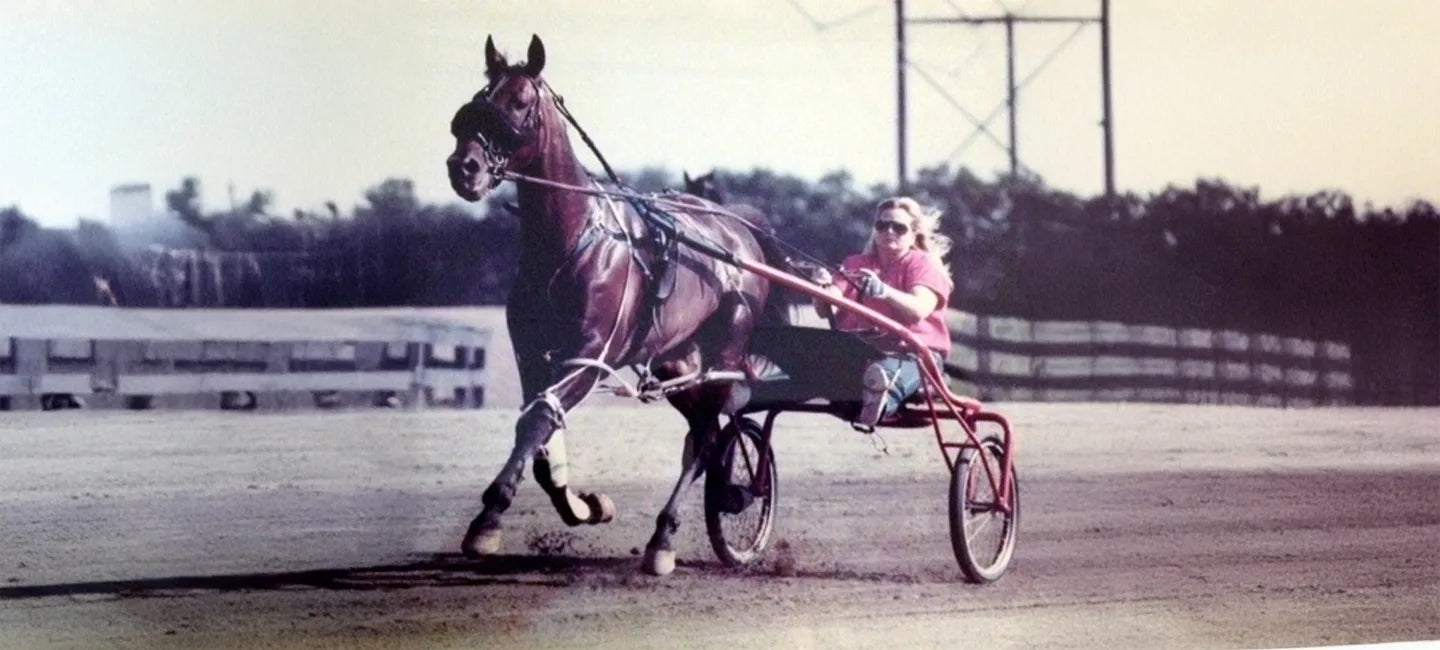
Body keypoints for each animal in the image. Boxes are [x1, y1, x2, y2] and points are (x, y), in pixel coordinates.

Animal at [445, 35, 789, 576]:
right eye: (479, 97)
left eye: (519, 102)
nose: (465, 168)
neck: (571, 238)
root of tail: (741, 233)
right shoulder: (533, 356)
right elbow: (538, 433)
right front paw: (585, 505)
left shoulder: (589, 355)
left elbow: (537, 422)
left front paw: (488, 521)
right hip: (676, 362)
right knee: (704, 430)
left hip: (724, 353)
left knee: (713, 432)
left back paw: (671, 534)